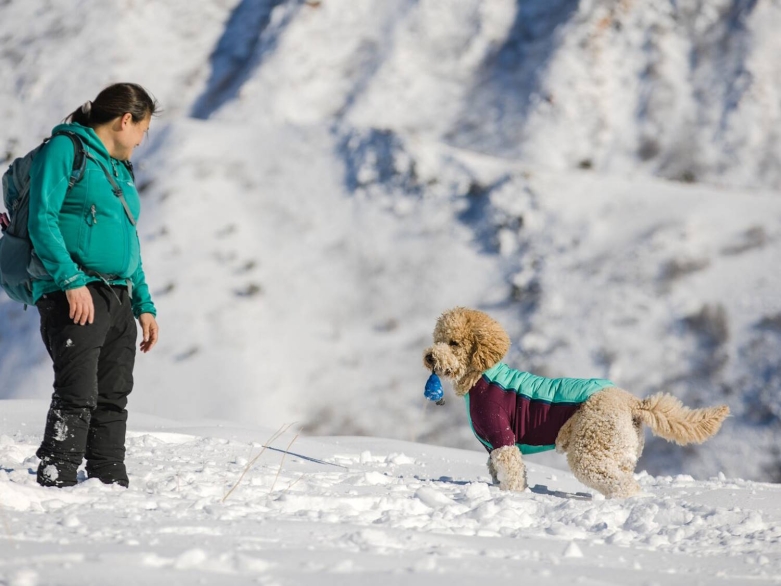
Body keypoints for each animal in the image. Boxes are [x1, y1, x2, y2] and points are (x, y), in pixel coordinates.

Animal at [424, 306, 728, 498]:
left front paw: (511, 497)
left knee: (623, 486)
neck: (481, 376)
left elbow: (511, 472)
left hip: (590, 448)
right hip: (619, 452)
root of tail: (632, 402)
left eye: (454, 343)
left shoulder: (503, 439)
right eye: (437, 339)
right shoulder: (492, 447)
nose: (429, 356)